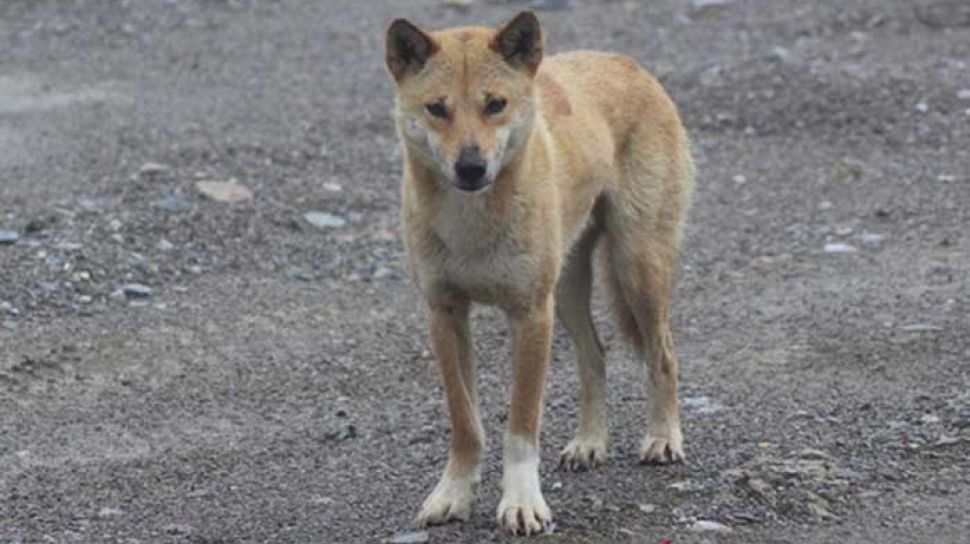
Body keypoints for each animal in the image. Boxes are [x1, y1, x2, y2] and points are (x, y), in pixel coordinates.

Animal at [382, 9, 692, 536]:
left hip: (637, 268)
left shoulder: (529, 315)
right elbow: (465, 422)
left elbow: (521, 426)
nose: (471, 167)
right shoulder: (445, 315)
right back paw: (590, 442)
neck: (472, 222)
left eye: (495, 105)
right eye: (437, 109)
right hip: (567, 289)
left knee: (663, 354)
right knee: (595, 357)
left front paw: (522, 503)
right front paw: (454, 494)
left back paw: (663, 437)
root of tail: (627, 63)